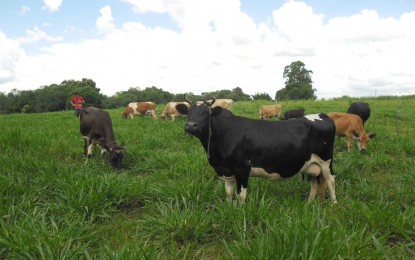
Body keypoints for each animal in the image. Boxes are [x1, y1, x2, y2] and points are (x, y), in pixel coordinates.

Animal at [176, 96, 338, 204]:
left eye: (206, 112)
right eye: (188, 111)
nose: (191, 125)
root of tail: (322, 115)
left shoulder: (242, 168)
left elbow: (241, 195)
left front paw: (240, 213)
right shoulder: (226, 170)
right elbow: (228, 193)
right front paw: (229, 208)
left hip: (326, 161)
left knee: (330, 180)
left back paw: (333, 204)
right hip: (311, 164)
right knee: (315, 183)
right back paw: (309, 204)